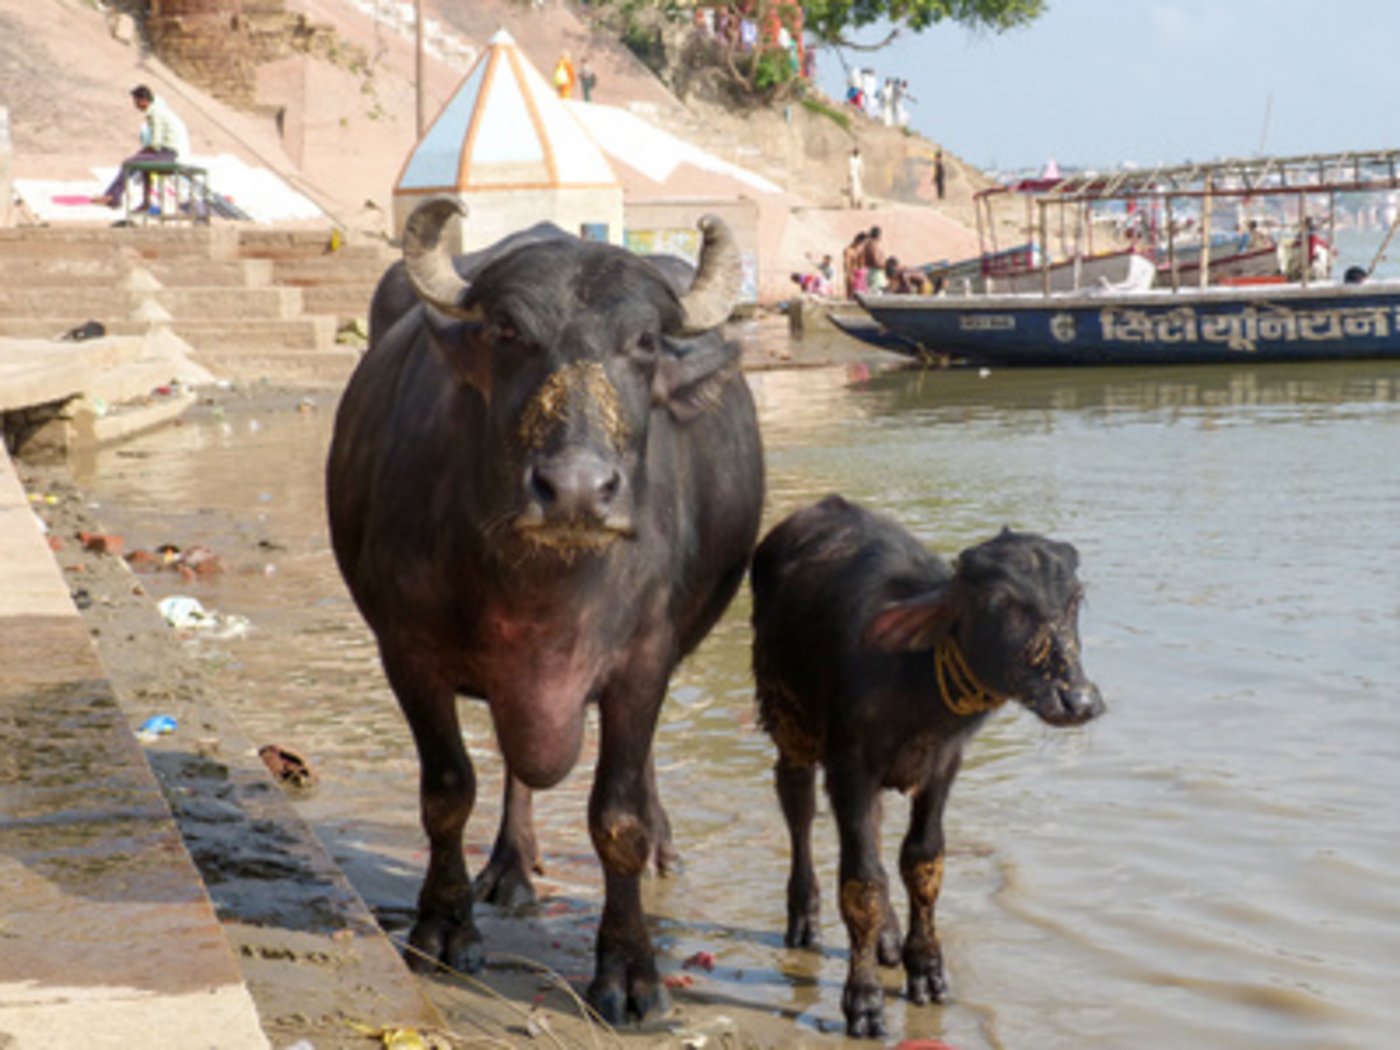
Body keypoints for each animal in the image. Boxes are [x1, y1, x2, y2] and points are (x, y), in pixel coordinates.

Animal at [326, 197, 765, 1023]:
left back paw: (660, 847)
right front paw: (444, 926)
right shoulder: (407, 653)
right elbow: (447, 792)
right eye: (508, 333)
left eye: (646, 342)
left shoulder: (644, 662)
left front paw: (630, 972)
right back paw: (511, 866)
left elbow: (616, 818)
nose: (576, 490)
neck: (546, 589)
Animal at [749, 495, 1104, 1038]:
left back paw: (887, 939)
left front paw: (926, 971)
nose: (1078, 700)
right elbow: (862, 880)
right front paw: (864, 1001)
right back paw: (804, 917)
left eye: (1074, 598)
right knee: (798, 804)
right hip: (787, 720)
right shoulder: (849, 766)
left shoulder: (942, 766)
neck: (916, 683)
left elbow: (921, 861)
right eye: (1000, 602)